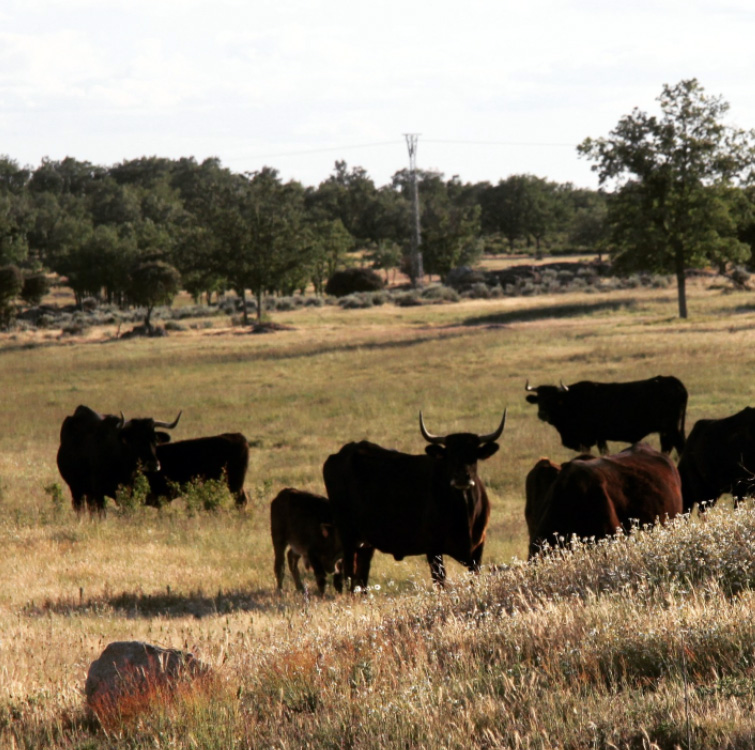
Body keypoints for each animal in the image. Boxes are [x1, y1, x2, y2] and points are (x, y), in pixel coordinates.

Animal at [322, 410, 506, 591]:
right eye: (449, 455)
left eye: (473, 455)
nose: (461, 477)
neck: (464, 516)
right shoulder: (433, 548)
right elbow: (440, 583)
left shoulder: (478, 549)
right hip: (347, 534)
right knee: (349, 574)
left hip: (366, 542)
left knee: (361, 577)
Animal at [524, 375, 687, 455]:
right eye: (539, 398)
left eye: (552, 399)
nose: (542, 414)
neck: (572, 400)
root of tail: (672, 381)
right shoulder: (597, 438)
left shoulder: (592, 438)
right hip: (666, 431)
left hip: (672, 429)